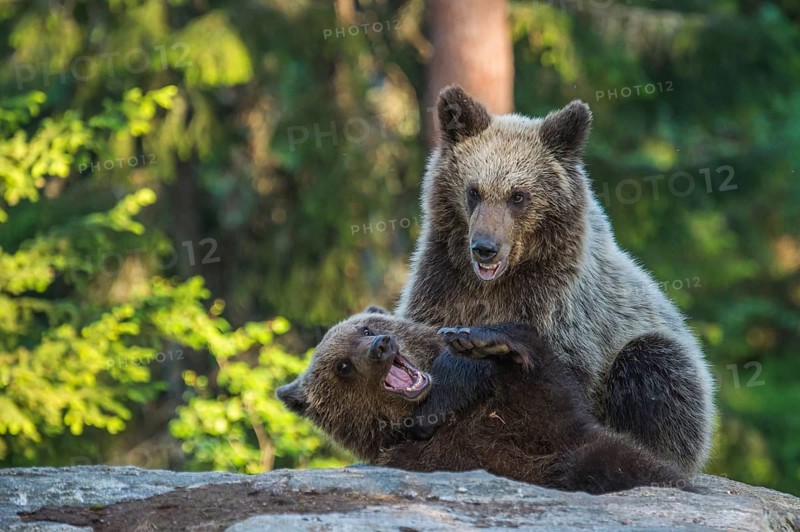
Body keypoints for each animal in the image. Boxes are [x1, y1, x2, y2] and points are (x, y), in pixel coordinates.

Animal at [277, 308, 689, 494]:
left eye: (366, 327)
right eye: (343, 366)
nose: (381, 346)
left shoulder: (535, 416)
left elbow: (545, 385)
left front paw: (489, 342)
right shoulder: (433, 457)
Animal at [395, 86, 715, 473]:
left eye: (518, 196)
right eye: (474, 191)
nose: (484, 248)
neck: (497, 284)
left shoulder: (560, 303)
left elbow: (555, 376)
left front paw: (475, 355)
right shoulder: (442, 281)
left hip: (674, 365)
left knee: (654, 365)